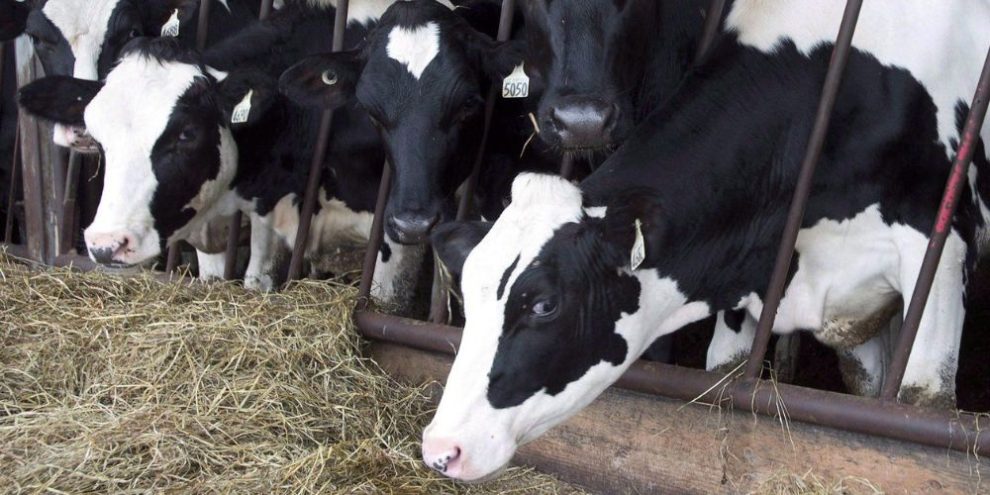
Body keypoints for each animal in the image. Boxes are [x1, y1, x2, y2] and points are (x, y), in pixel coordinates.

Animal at [422, 0, 990, 481]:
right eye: (467, 297)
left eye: (544, 304)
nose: (442, 447)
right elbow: (735, 372)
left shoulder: (940, 250)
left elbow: (918, 398)